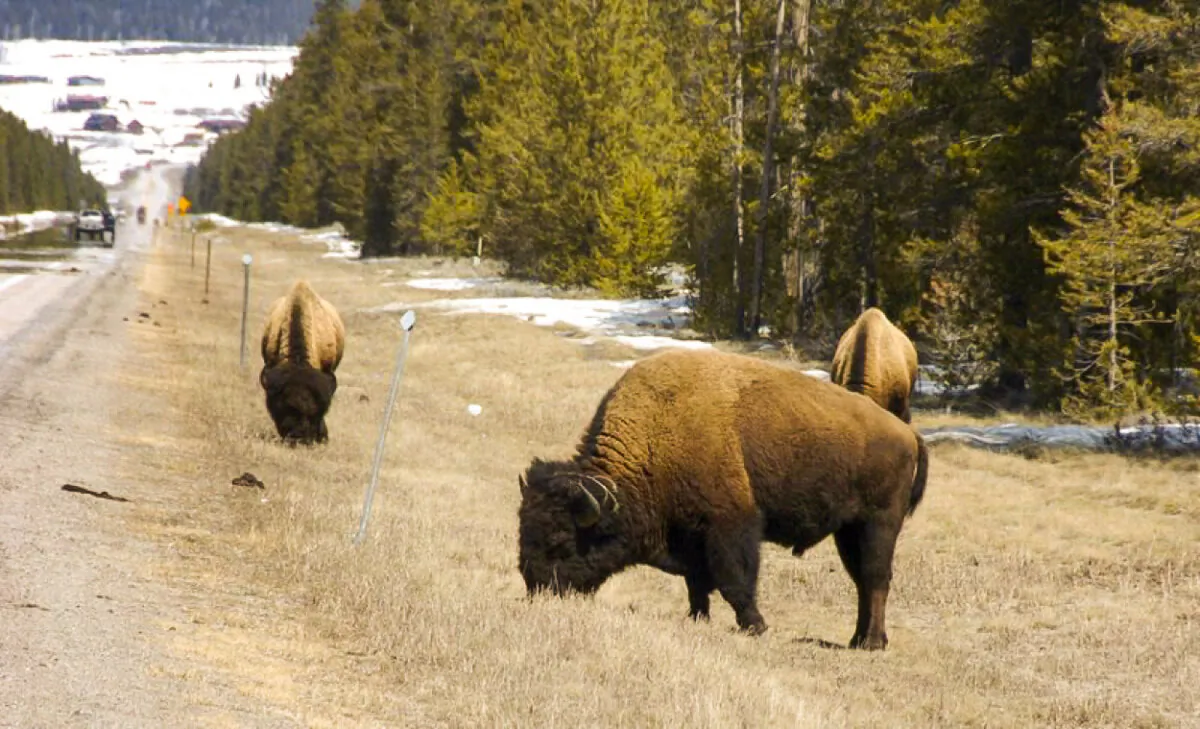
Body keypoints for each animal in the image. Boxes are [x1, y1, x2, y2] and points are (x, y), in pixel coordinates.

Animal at [518, 349, 928, 650]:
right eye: (524, 532)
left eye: (561, 541)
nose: (536, 588)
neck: (655, 439)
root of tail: (907, 434)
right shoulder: (690, 537)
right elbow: (697, 584)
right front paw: (697, 619)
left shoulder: (729, 526)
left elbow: (734, 579)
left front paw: (756, 626)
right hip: (848, 531)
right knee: (862, 581)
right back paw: (859, 639)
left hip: (878, 523)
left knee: (875, 578)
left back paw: (871, 643)